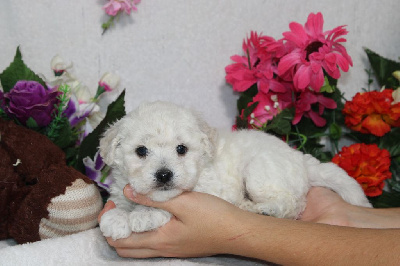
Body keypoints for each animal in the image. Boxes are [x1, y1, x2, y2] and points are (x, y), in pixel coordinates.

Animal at [97, 101, 372, 240]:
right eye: (141, 151)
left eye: (181, 149)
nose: (164, 174)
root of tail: (300, 158)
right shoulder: (121, 190)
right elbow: (119, 205)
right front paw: (116, 219)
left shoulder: (208, 190)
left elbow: (161, 207)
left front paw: (144, 215)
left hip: (260, 174)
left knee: (291, 204)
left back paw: (260, 209)